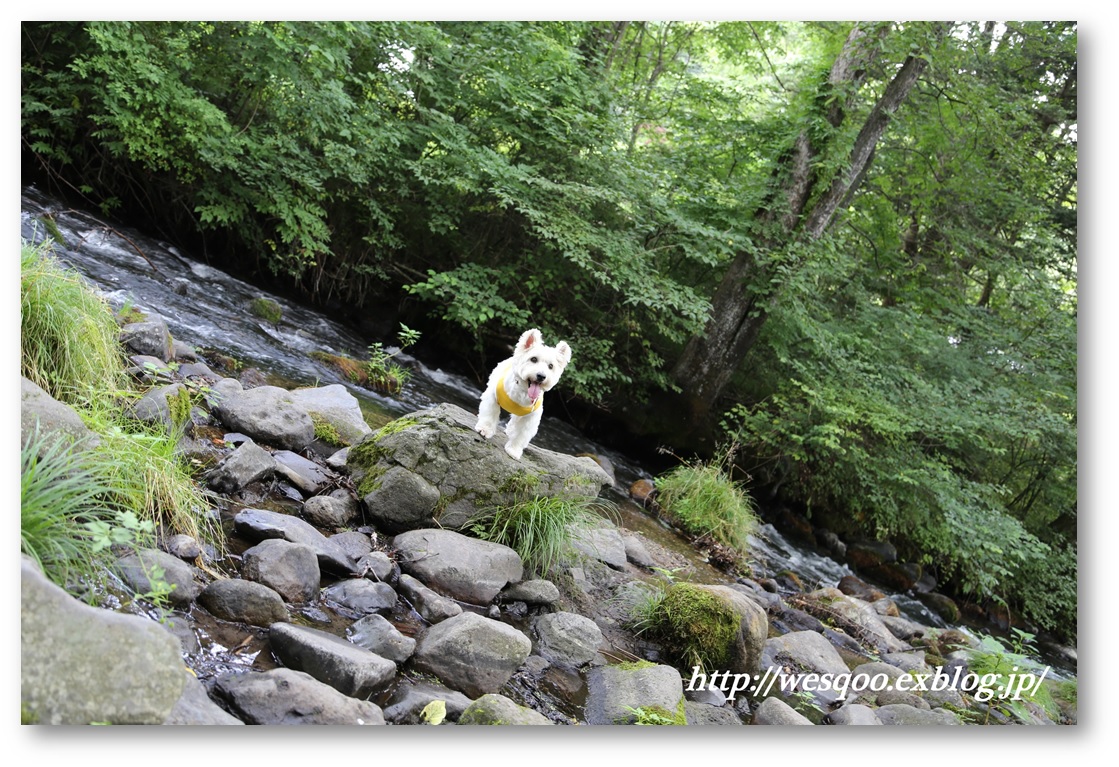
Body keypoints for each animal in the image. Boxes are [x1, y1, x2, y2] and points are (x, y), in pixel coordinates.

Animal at [474, 326, 572, 456]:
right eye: (533, 359)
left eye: (551, 366)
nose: (541, 376)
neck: (523, 391)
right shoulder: (492, 397)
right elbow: (490, 414)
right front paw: (485, 430)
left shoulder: (531, 417)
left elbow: (521, 434)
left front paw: (513, 450)